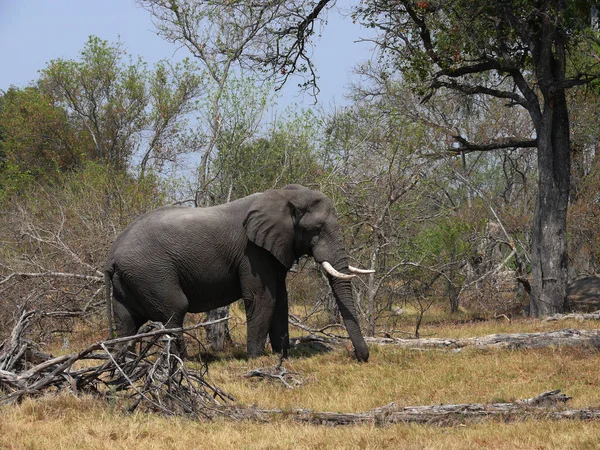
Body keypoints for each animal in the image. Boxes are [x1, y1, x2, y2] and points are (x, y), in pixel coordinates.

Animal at [105, 185, 372, 360]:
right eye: (316, 229)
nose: (359, 357)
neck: (284, 196)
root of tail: (112, 254)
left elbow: (281, 300)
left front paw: (281, 357)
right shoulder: (252, 252)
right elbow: (263, 299)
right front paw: (256, 360)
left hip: (131, 278)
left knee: (127, 321)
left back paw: (125, 364)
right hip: (151, 272)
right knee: (175, 309)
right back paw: (182, 363)